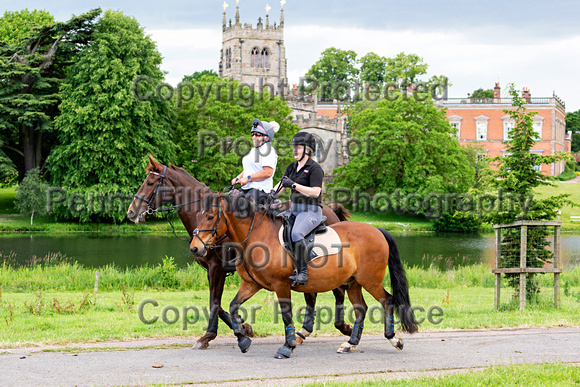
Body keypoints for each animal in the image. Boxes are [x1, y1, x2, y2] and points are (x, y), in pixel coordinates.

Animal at [127, 156, 354, 350]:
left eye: (150, 183)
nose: (131, 212)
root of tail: (330, 210)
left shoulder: (216, 269)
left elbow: (215, 303)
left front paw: (210, 336)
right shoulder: (215, 271)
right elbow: (219, 305)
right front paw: (243, 327)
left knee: (335, 292)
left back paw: (342, 327)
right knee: (312, 295)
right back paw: (304, 332)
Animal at [190, 196, 416, 360]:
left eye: (210, 217)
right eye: (198, 215)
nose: (194, 248)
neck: (257, 236)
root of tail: (376, 229)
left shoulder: (280, 285)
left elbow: (286, 315)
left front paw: (286, 347)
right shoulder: (252, 284)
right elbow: (233, 305)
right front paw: (242, 340)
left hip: (370, 280)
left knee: (387, 300)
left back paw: (393, 339)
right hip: (353, 282)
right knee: (361, 308)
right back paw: (350, 344)